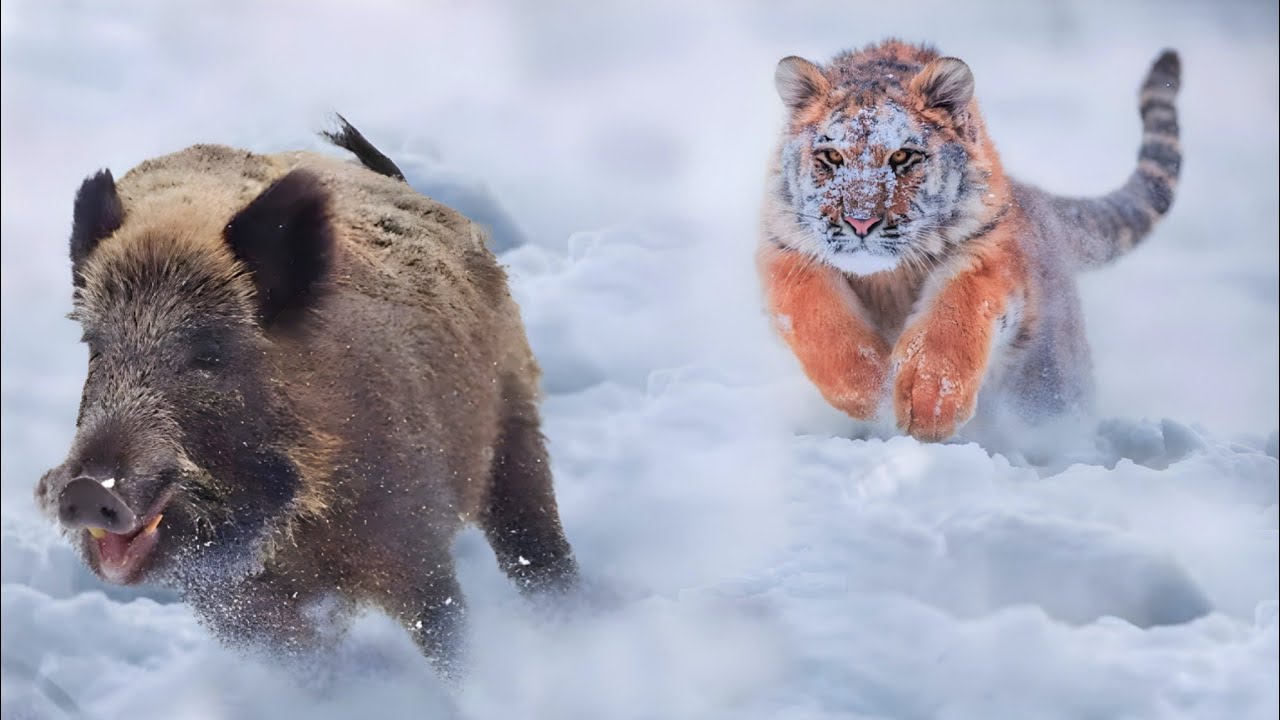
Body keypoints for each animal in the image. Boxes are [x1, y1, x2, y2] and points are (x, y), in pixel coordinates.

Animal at [758, 39, 1181, 442]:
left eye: (902, 157)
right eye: (831, 156)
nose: (860, 222)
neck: (887, 278)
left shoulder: (986, 247)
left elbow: (954, 315)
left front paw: (928, 404)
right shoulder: (785, 249)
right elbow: (817, 319)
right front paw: (872, 390)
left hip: (1053, 384)